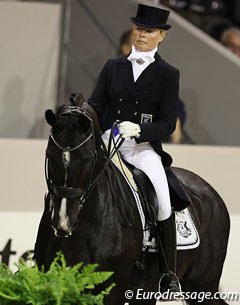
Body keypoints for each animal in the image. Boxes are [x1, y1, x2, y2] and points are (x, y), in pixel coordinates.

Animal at [34, 94, 231, 302]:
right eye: (49, 155)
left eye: (87, 159)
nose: (63, 222)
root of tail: (212, 193)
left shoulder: (113, 289)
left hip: (202, 285)